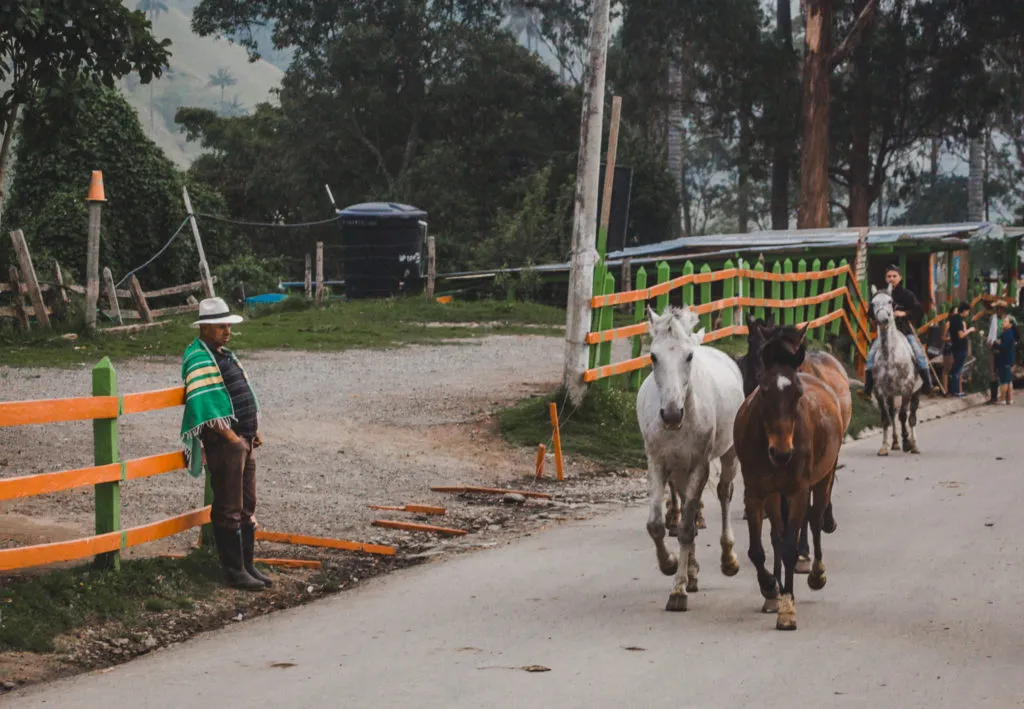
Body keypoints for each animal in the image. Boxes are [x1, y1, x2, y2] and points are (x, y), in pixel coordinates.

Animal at [637, 305, 745, 611]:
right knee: (688, 504)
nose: (672, 414)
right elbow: (657, 525)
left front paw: (678, 591)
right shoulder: (658, 464)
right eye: (653, 356)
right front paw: (671, 564)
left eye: (688, 356)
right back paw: (693, 572)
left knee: (723, 494)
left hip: (728, 455)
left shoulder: (700, 465)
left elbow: (686, 527)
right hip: (680, 470)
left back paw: (728, 560)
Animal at [733, 355, 846, 630]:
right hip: (775, 495)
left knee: (815, 520)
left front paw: (787, 608)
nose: (782, 453)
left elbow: (789, 548)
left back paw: (817, 573)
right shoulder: (756, 493)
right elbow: (758, 550)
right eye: (763, 391)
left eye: (797, 393)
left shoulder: (798, 492)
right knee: (778, 533)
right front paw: (771, 588)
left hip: (823, 478)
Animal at [869, 286, 922, 456]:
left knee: (912, 416)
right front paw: (884, 447)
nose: (882, 319)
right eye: (873, 303)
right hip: (891, 394)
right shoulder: (880, 391)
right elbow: (886, 418)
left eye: (890, 302)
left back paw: (914, 444)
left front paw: (907, 442)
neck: (890, 356)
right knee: (892, 413)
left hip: (916, 392)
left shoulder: (907, 388)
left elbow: (904, 416)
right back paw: (896, 443)